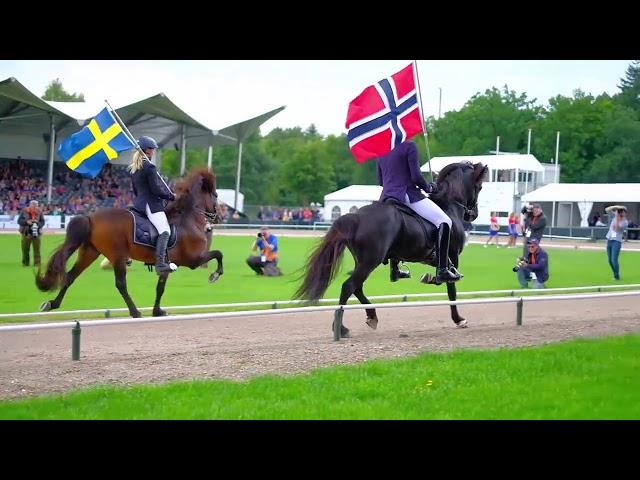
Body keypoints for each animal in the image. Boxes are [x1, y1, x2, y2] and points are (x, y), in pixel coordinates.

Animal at [36, 167, 225, 316]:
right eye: (215, 195)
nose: (219, 217)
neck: (188, 219)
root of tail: (90, 217)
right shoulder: (194, 259)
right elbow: (219, 253)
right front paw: (215, 275)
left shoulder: (168, 265)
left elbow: (160, 288)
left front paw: (157, 311)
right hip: (118, 256)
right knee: (120, 284)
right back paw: (135, 311)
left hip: (89, 253)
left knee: (70, 276)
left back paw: (52, 304)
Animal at [296, 160, 490, 338]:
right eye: (479, 186)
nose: (473, 215)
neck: (449, 206)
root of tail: (356, 216)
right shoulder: (452, 256)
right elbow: (451, 287)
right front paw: (459, 319)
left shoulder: (434, 259)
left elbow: (440, 279)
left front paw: (430, 278)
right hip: (370, 261)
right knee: (349, 286)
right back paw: (341, 328)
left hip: (362, 261)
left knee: (357, 287)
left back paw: (372, 316)